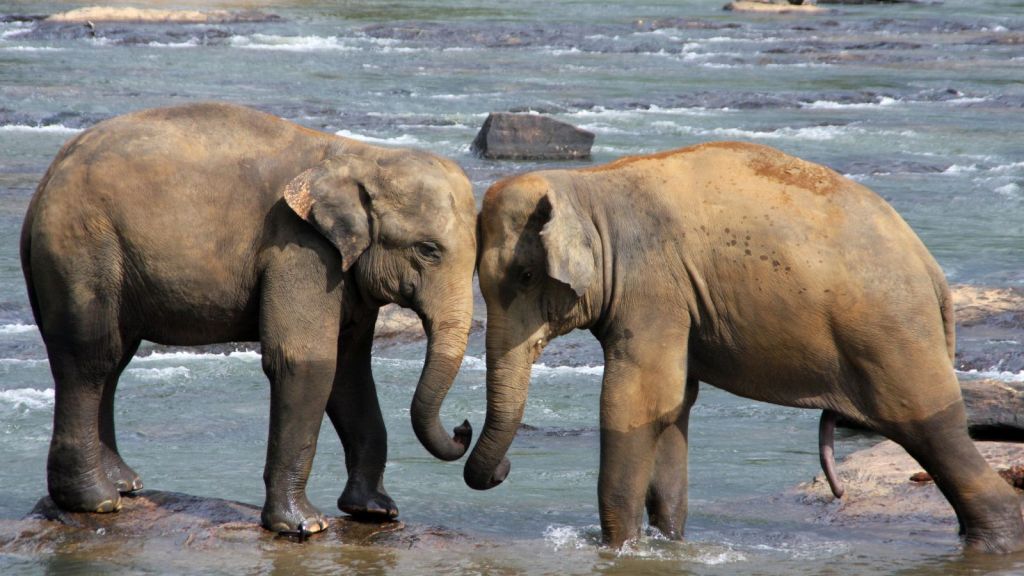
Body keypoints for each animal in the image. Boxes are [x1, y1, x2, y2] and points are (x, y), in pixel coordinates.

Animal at [20, 102, 477, 534]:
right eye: (428, 250)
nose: (463, 427)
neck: (364, 155)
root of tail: (48, 176)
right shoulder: (299, 249)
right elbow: (307, 361)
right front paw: (305, 526)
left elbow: (349, 371)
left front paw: (376, 511)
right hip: (81, 246)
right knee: (90, 357)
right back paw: (96, 501)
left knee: (114, 358)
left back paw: (125, 485)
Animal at [465, 141, 1024, 554]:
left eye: (526, 275)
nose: (502, 466)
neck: (587, 186)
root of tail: (931, 269)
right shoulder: (675, 301)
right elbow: (674, 407)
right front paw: (669, 544)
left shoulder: (653, 288)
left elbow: (635, 402)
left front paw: (618, 549)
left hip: (893, 333)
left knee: (930, 428)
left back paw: (994, 541)